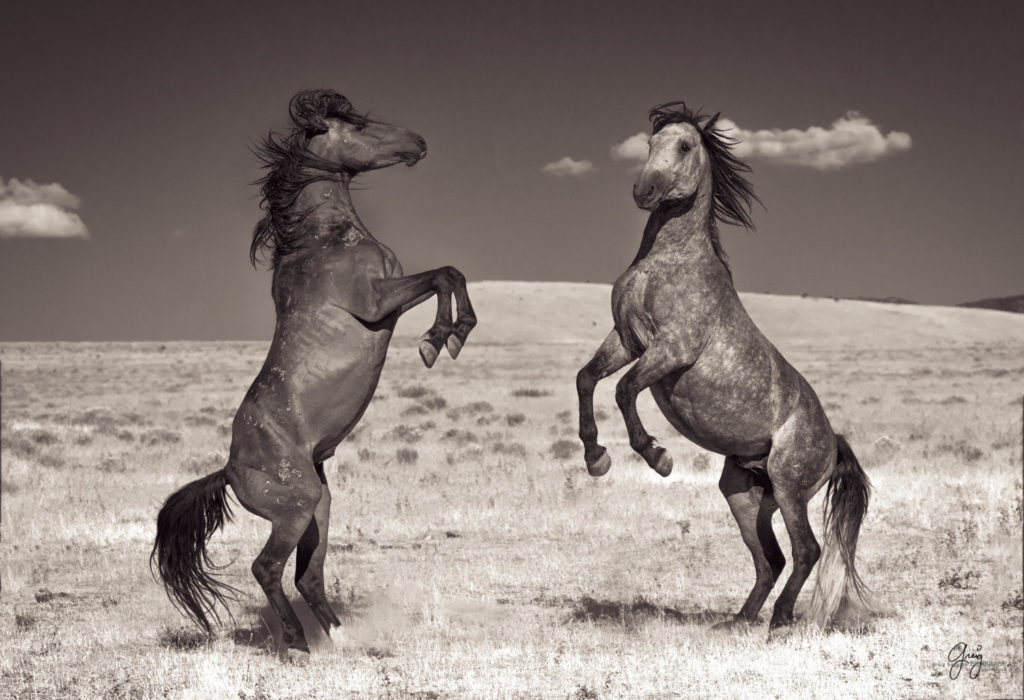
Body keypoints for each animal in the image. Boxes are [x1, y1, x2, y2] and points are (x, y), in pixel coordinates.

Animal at [150, 90, 475, 654]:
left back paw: (341, 640)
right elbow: (443, 274)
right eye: (358, 126)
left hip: (319, 508)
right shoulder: (376, 302)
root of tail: (229, 470)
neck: (324, 240)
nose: (418, 142)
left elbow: (450, 274)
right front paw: (440, 340)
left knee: (308, 575)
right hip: (295, 507)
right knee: (266, 568)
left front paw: (455, 333)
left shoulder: (390, 299)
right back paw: (298, 642)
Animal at [577, 101, 880, 630]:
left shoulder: (671, 350)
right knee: (769, 558)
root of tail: (834, 443)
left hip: (788, 487)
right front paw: (596, 457)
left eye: (684, 145)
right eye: (649, 144)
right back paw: (740, 618)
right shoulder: (626, 341)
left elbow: (623, 390)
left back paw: (779, 620)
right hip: (743, 493)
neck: (668, 263)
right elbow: (588, 378)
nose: (644, 191)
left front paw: (657, 456)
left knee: (805, 550)